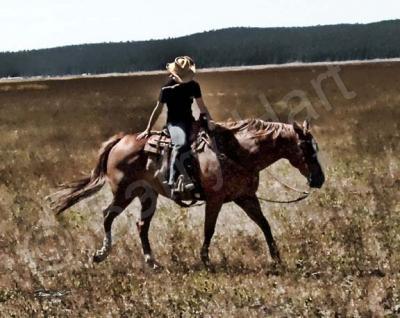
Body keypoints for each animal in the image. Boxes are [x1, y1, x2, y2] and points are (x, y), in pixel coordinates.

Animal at [49, 118, 324, 268]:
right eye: (306, 149)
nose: (319, 179)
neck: (239, 152)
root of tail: (120, 140)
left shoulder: (245, 197)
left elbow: (264, 225)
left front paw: (276, 259)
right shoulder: (216, 200)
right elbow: (209, 229)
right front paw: (206, 260)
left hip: (148, 196)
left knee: (141, 225)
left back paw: (152, 262)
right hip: (123, 193)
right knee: (108, 215)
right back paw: (101, 254)